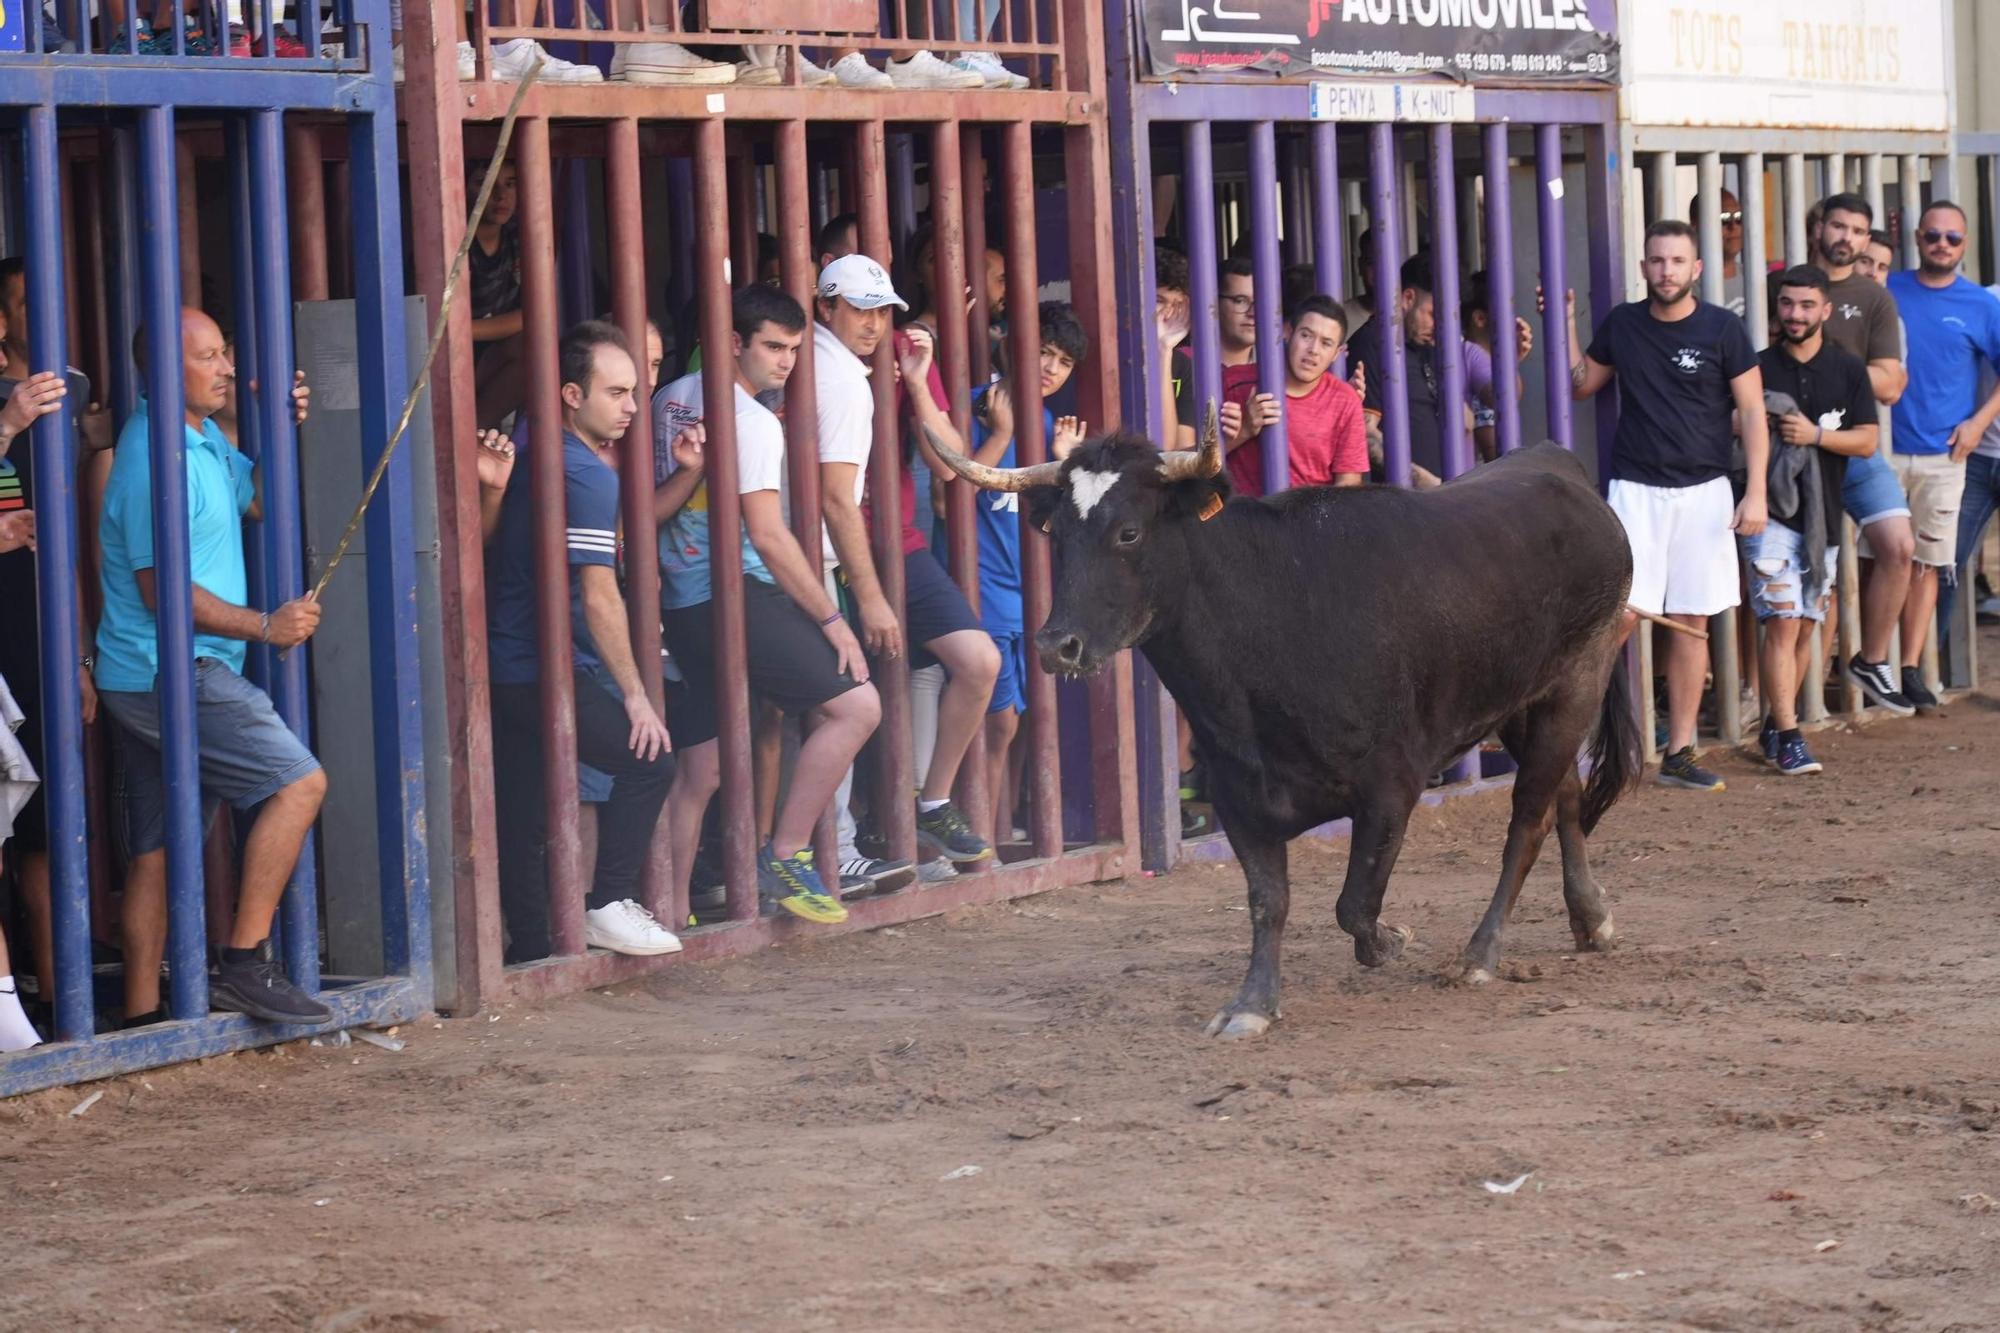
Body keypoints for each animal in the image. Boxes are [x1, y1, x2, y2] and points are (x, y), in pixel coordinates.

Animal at [928, 426, 1632, 1040]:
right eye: (1060, 540)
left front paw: (1392, 941)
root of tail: (1558, 467)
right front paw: (1251, 1005)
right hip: (1524, 708)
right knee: (1566, 799)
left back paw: (1480, 955)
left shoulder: (1391, 788)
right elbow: (1269, 901)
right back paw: (1591, 918)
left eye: (1129, 531)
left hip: (1576, 682)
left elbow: (1355, 903)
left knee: (1528, 819)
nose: (1057, 646)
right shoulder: (1241, 800)